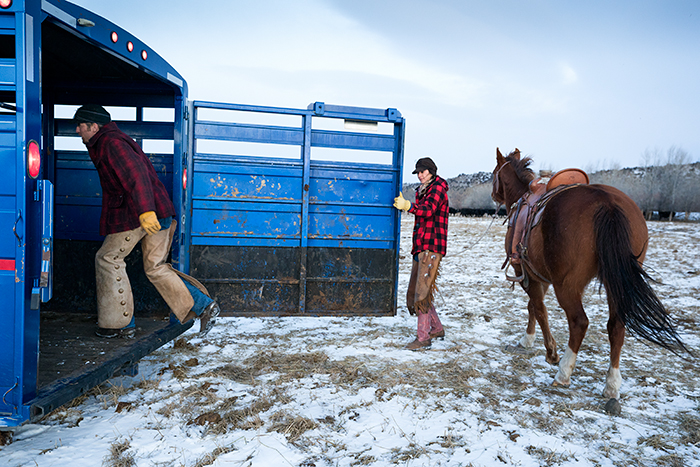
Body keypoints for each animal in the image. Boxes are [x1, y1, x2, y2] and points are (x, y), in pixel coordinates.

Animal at [492, 148, 688, 400]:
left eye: (495, 175)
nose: (493, 195)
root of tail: (607, 203)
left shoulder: (526, 274)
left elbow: (539, 308)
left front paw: (547, 350)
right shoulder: (540, 277)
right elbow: (534, 307)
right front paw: (529, 339)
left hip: (567, 286)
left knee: (579, 322)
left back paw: (563, 372)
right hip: (616, 284)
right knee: (616, 326)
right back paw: (612, 384)